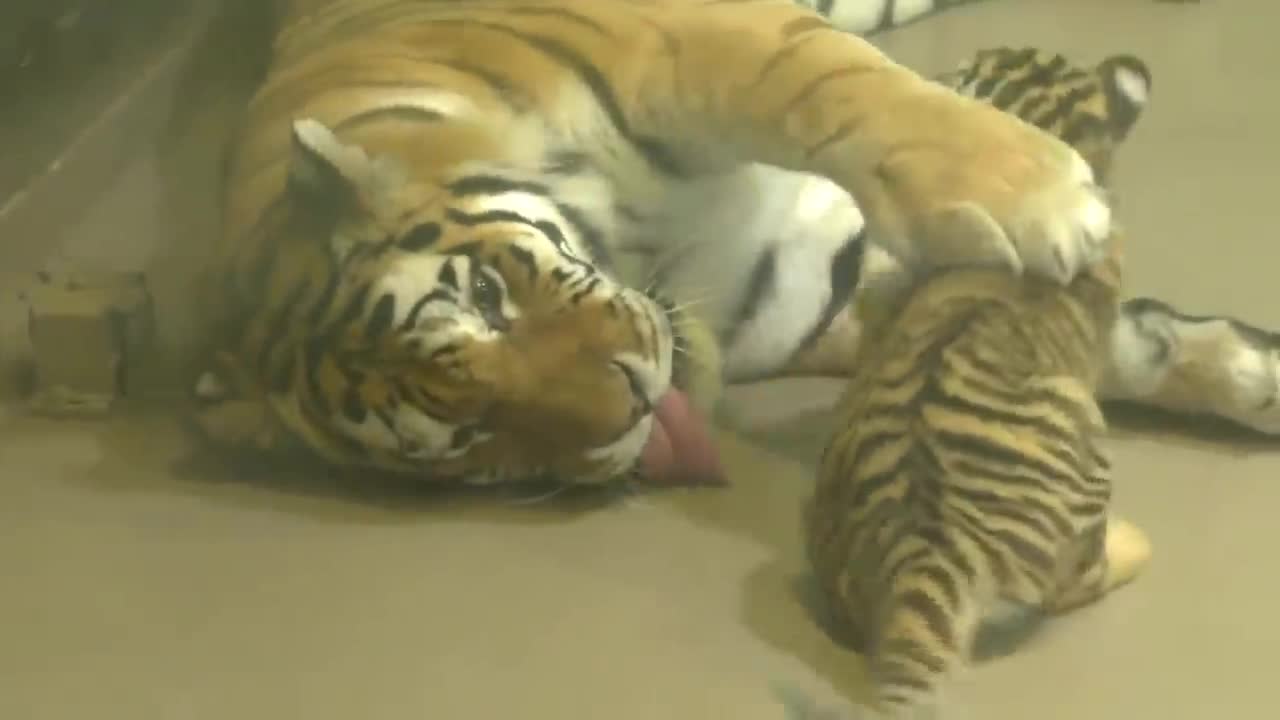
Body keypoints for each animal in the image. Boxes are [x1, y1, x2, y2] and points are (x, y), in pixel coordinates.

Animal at [177, 1, 1259, 486]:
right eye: (469, 438)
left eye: (485, 295)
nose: (632, 401)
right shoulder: (811, 292)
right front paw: (1246, 376)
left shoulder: (694, 34)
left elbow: (845, 86)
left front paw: (1041, 193)